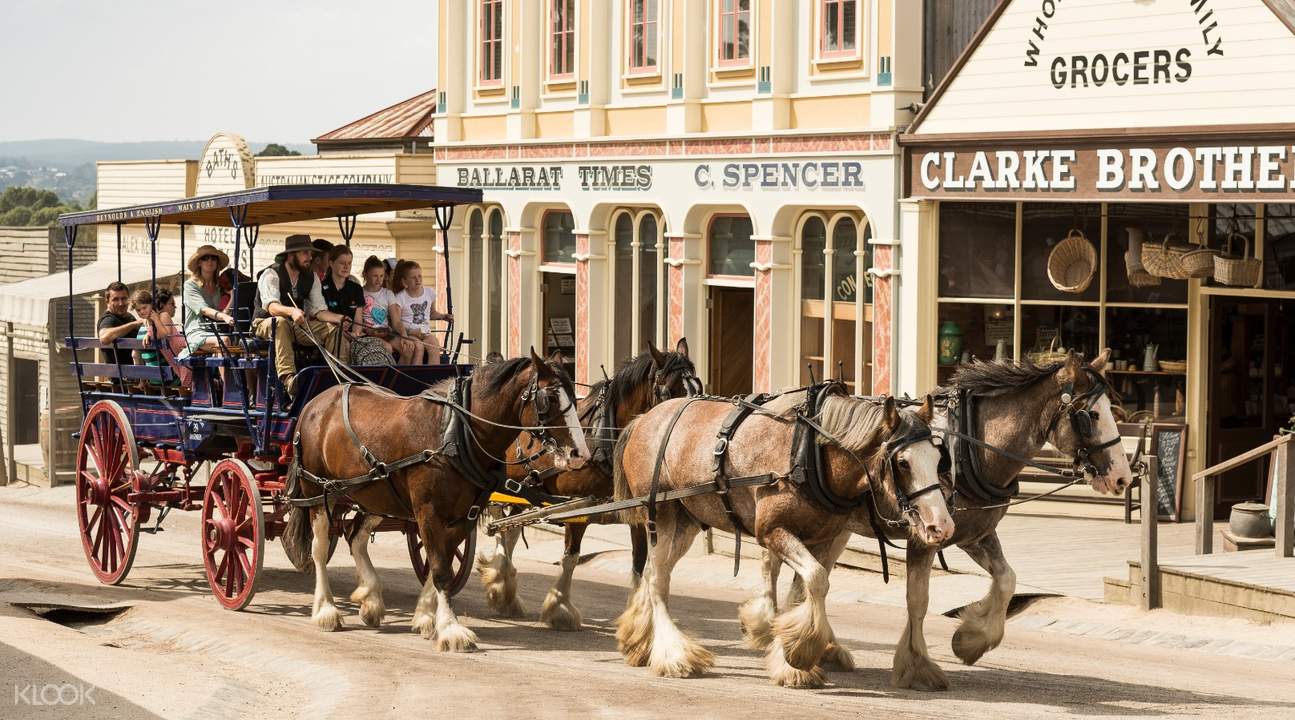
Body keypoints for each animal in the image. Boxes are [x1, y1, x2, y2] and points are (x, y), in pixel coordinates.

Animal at [286, 349, 590, 652]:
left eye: (574, 398)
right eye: (550, 399)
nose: (580, 454)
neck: (454, 433)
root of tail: (317, 402)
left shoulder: (464, 514)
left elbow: (439, 564)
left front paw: (425, 616)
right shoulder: (429, 512)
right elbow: (441, 569)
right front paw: (451, 628)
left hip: (374, 493)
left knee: (355, 536)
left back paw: (370, 598)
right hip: (317, 490)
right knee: (319, 548)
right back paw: (326, 609)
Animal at [476, 336, 699, 624]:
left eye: (698, 385)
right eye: (669, 391)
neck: (604, 436)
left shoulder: (632, 508)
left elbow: (639, 563)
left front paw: (637, 617)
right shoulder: (576, 505)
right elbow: (570, 557)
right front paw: (559, 608)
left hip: (523, 488)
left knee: (509, 531)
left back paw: (503, 588)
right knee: (501, 528)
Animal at [740, 352, 1134, 688]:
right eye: (1091, 416)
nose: (1123, 477)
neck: (970, 447)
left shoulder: (974, 534)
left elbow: (1007, 580)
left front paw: (971, 639)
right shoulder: (924, 536)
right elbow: (918, 600)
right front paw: (918, 665)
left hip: (835, 530)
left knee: (797, 580)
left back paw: (816, 645)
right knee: (775, 568)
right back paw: (770, 628)